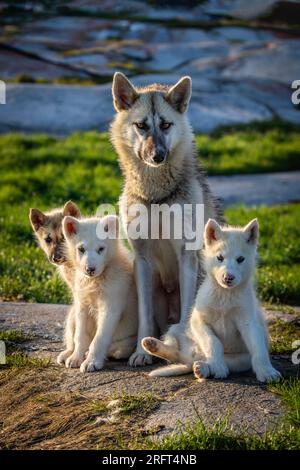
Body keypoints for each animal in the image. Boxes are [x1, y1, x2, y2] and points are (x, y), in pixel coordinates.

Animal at [63, 215, 139, 372]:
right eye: (81, 249)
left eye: (101, 249)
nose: (90, 269)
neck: (96, 281)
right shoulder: (82, 306)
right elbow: (80, 336)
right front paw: (76, 358)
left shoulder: (111, 307)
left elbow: (99, 339)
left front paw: (91, 362)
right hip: (72, 314)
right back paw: (67, 354)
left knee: (118, 349)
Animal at [110, 74, 223, 368]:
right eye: (141, 126)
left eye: (166, 125)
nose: (157, 156)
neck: (157, 197)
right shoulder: (142, 260)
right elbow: (145, 315)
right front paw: (141, 352)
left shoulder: (186, 255)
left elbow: (186, 313)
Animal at [142, 218, 282, 384]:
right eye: (220, 258)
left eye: (240, 259)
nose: (228, 278)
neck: (224, 295)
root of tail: (192, 357)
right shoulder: (198, 321)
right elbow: (213, 342)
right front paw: (217, 365)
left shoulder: (249, 322)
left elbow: (258, 348)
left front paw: (266, 371)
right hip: (177, 328)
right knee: (175, 352)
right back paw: (152, 345)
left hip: (241, 361)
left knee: (210, 362)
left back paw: (203, 368)